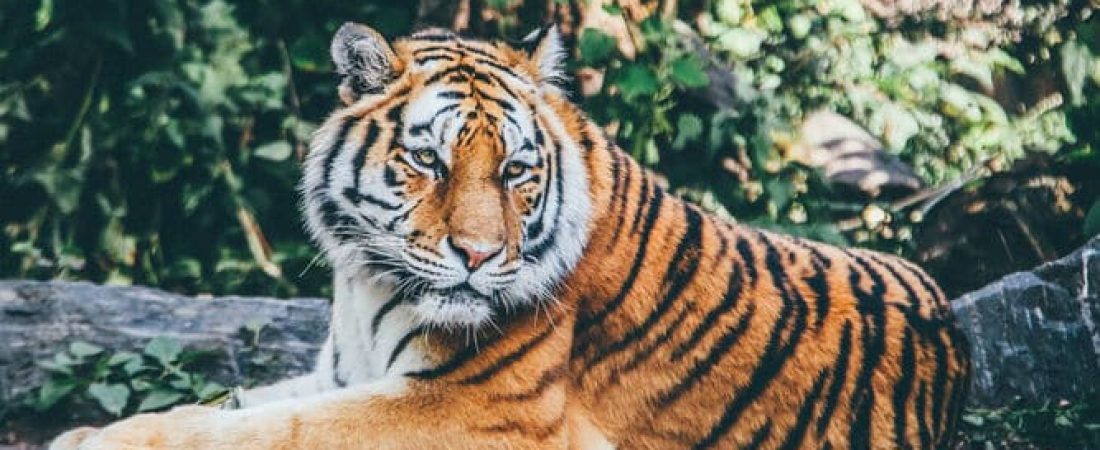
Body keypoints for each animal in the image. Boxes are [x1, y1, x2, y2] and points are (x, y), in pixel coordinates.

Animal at [51, 23, 971, 450]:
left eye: (517, 171)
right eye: (427, 161)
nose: (480, 257)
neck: (366, 283)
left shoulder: (477, 406)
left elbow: (270, 430)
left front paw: (90, 438)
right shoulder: (342, 372)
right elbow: (234, 404)